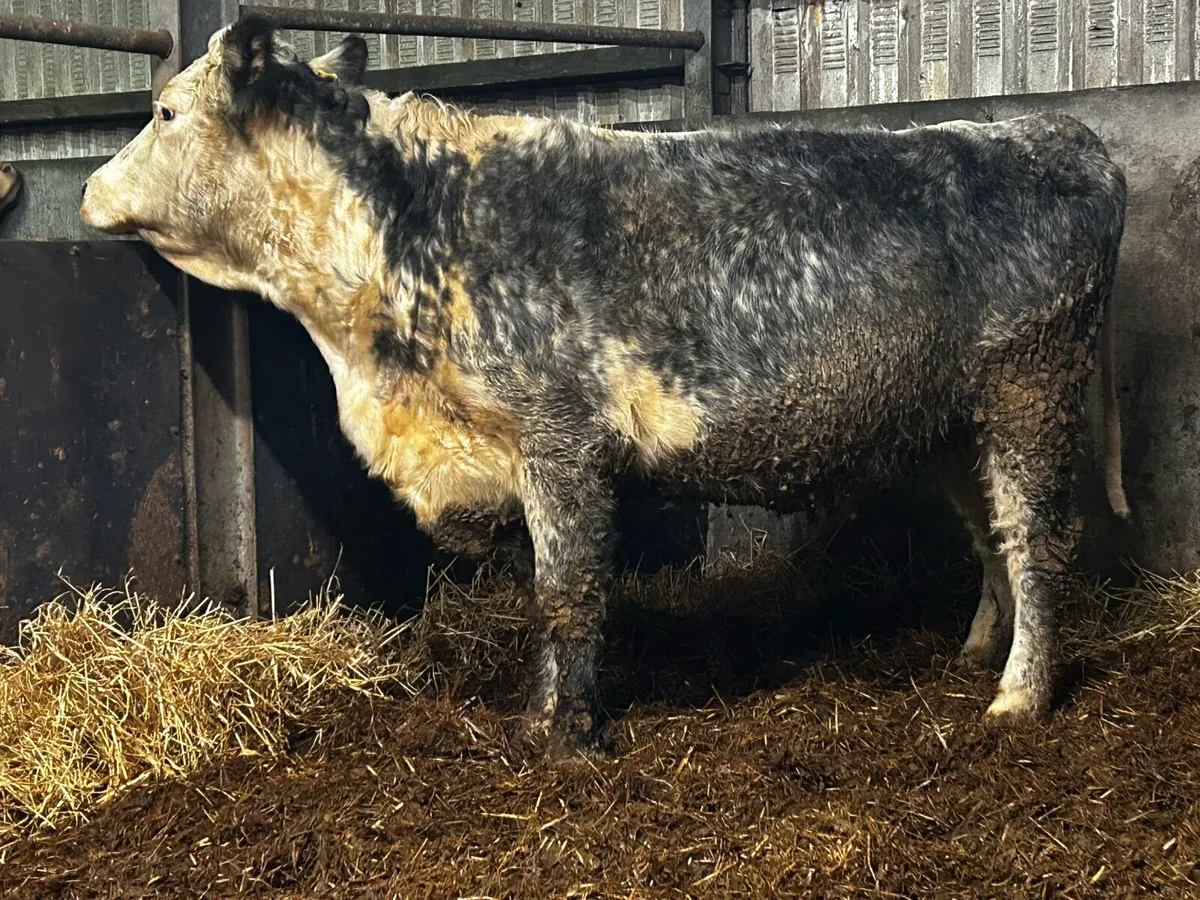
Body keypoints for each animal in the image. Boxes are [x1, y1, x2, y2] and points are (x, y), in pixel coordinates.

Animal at [80, 17, 1129, 754]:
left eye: (165, 111)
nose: (87, 189)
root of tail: (1056, 131)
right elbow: (548, 598)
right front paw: (540, 718)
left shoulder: (560, 442)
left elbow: (568, 593)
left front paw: (567, 739)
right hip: (959, 418)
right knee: (991, 534)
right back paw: (976, 654)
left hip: (1033, 387)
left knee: (1037, 539)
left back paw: (1018, 697)